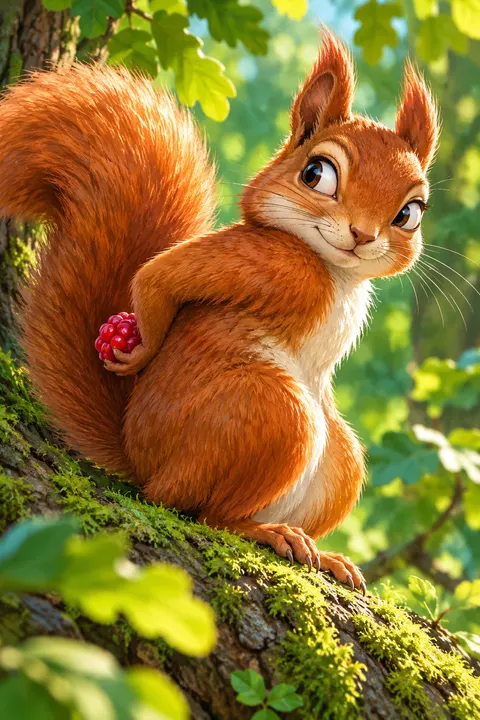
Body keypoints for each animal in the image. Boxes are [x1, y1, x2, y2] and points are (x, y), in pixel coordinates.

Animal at [0, 31, 438, 592]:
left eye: (410, 213)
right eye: (316, 174)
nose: (363, 235)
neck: (336, 273)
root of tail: (142, 463)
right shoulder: (266, 261)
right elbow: (160, 276)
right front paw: (138, 352)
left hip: (342, 461)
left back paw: (324, 553)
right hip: (271, 414)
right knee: (202, 511)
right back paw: (264, 530)